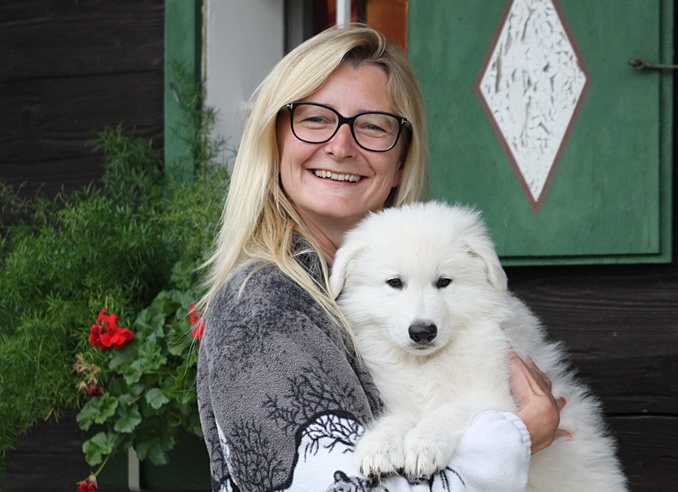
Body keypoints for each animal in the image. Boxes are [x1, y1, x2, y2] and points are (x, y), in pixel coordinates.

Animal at [329, 201, 628, 491]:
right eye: (394, 283)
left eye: (444, 282)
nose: (422, 332)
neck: (429, 362)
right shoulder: (399, 400)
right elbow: (396, 419)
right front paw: (378, 446)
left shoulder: (497, 398)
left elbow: (450, 409)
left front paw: (424, 444)